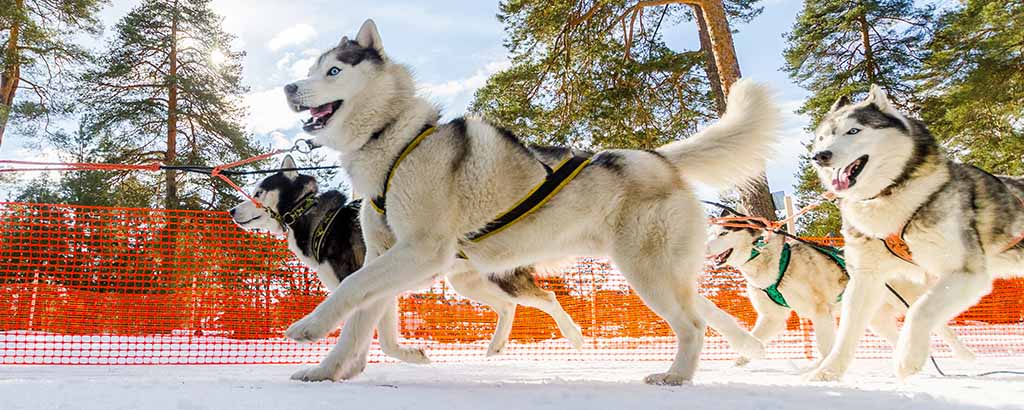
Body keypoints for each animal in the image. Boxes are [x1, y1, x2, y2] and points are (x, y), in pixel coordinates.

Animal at [280, 19, 774, 385]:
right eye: (311, 68)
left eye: (333, 71)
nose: (287, 87)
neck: (395, 141)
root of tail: (655, 158)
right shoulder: (386, 254)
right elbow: (359, 321)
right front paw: (327, 371)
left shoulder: (420, 251)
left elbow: (350, 288)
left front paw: (309, 327)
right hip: (659, 273)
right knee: (703, 312)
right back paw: (735, 351)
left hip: (646, 272)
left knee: (691, 325)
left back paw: (677, 376)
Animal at [806, 85, 1015, 379]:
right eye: (823, 137)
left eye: (853, 130)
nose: (820, 156)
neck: (888, 197)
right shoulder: (865, 279)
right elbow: (847, 332)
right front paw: (827, 372)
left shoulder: (966, 273)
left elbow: (920, 310)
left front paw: (908, 358)